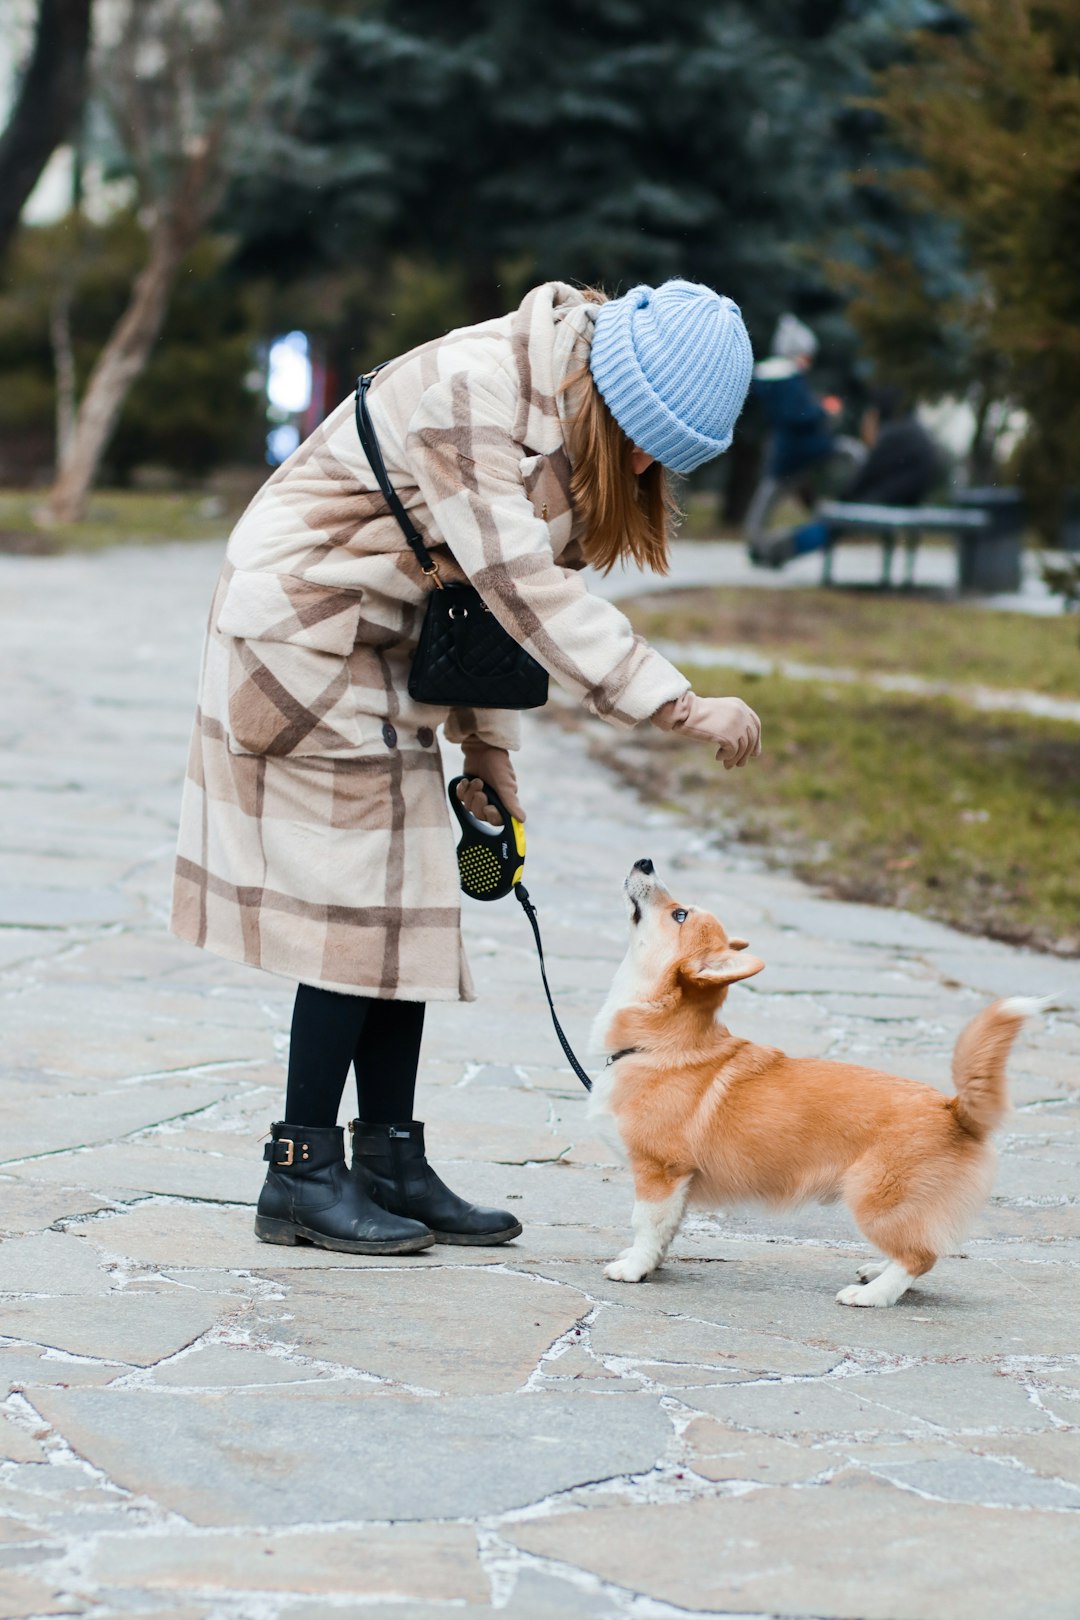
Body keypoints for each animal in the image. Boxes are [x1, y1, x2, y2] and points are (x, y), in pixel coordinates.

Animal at [592, 861, 1036, 1302]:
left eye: (679, 914)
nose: (645, 863)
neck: (663, 1041)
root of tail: (954, 1109)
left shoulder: (659, 1173)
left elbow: (645, 1224)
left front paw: (633, 1269)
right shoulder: (677, 1184)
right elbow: (666, 1231)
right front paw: (650, 1263)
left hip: (874, 1199)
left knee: (919, 1257)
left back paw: (872, 1295)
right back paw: (876, 1272)